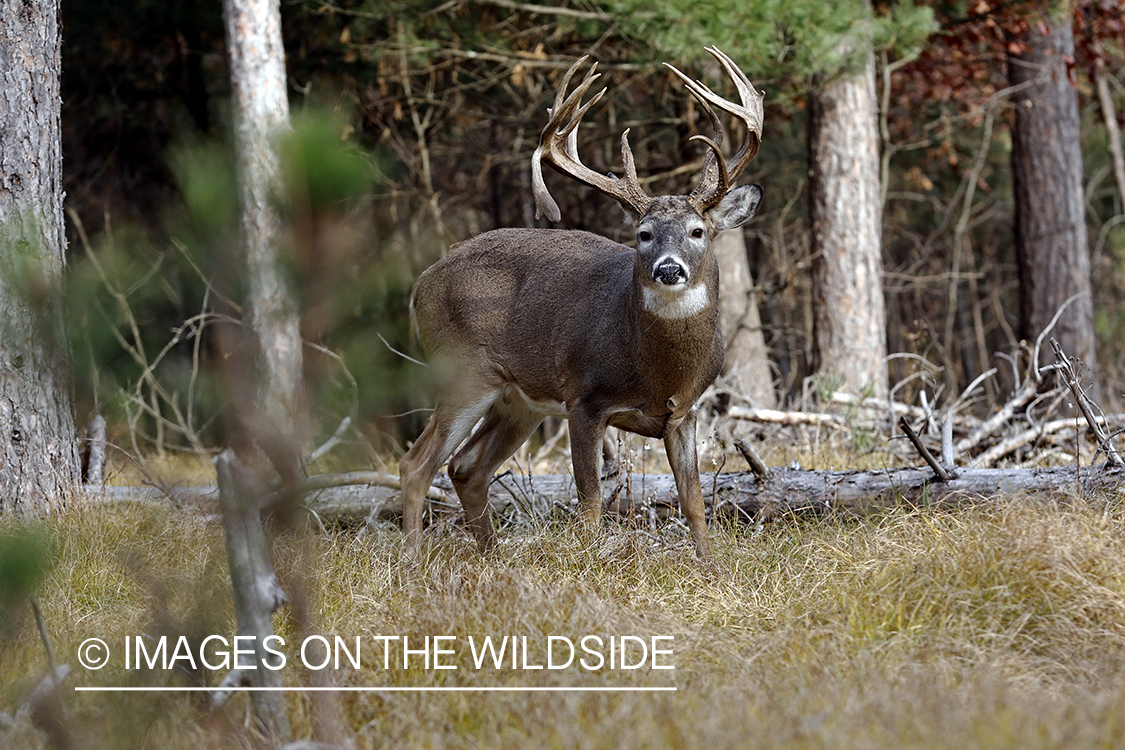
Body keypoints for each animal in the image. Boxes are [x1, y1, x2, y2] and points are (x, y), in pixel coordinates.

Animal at [398, 46, 765, 559]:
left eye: (698, 231)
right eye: (643, 234)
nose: (669, 269)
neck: (657, 371)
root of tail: (421, 283)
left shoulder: (685, 413)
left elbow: (694, 502)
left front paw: (711, 568)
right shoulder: (584, 398)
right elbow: (590, 503)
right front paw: (589, 566)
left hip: (519, 400)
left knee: (466, 468)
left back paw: (492, 558)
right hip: (463, 372)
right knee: (416, 465)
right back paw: (413, 561)